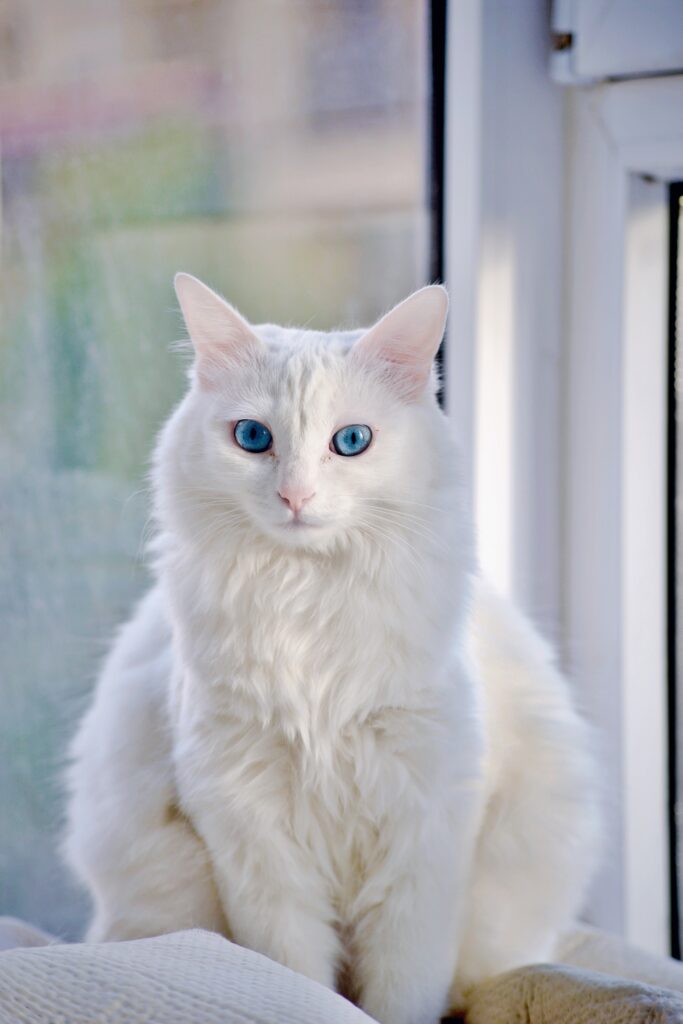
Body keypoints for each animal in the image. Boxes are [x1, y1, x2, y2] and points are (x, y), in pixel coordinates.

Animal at [62, 274, 598, 1024]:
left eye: (351, 441)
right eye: (252, 438)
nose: (295, 495)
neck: (307, 601)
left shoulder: (425, 821)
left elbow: (404, 986)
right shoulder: (247, 821)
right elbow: (297, 971)